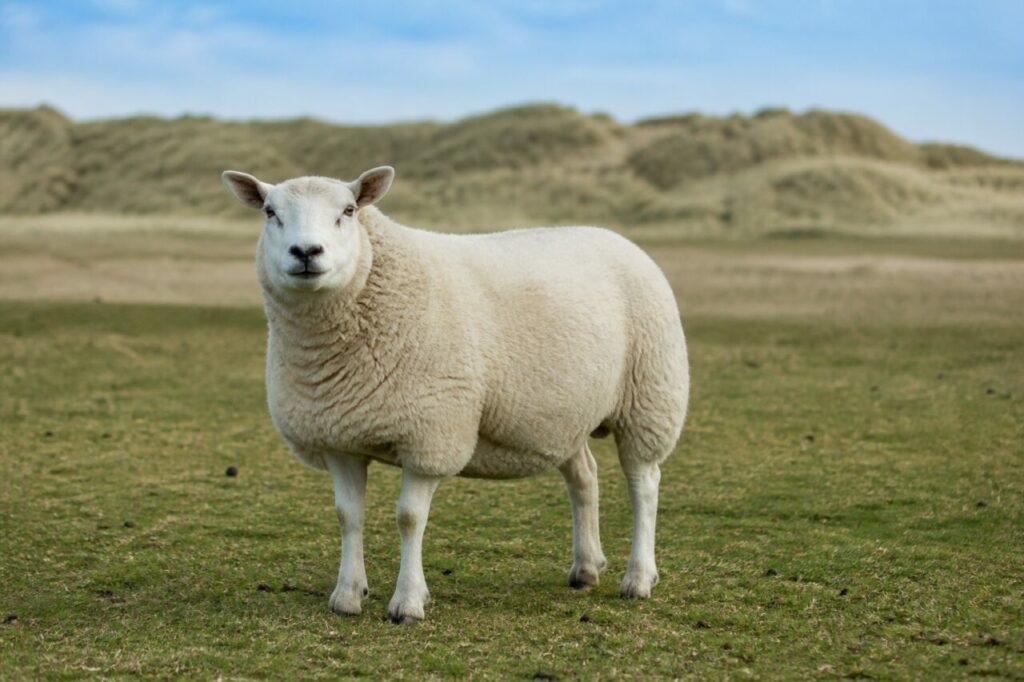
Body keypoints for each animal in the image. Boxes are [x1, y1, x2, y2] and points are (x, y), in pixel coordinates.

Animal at [221, 166, 689, 623]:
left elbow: (410, 518)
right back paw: (586, 568)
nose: (306, 252)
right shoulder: (339, 437)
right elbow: (347, 516)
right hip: (565, 415)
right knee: (584, 478)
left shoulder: (430, 434)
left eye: (349, 210)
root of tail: (617, 237)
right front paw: (347, 596)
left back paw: (638, 579)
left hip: (651, 398)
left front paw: (408, 602)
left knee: (644, 484)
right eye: (269, 212)